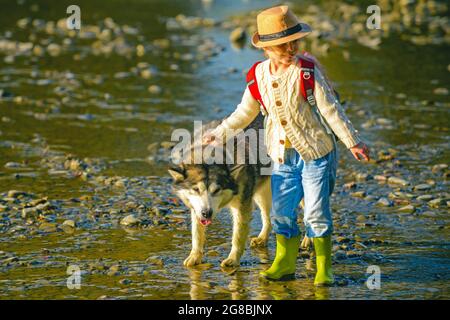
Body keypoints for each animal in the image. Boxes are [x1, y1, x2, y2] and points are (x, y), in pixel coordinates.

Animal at [169, 114, 272, 268]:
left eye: (217, 190)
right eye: (196, 189)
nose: (207, 213)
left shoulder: (242, 206)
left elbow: (238, 236)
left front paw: (233, 259)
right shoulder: (196, 208)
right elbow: (196, 234)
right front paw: (194, 256)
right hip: (260, 192)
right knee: (267, 218)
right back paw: (262, 238)